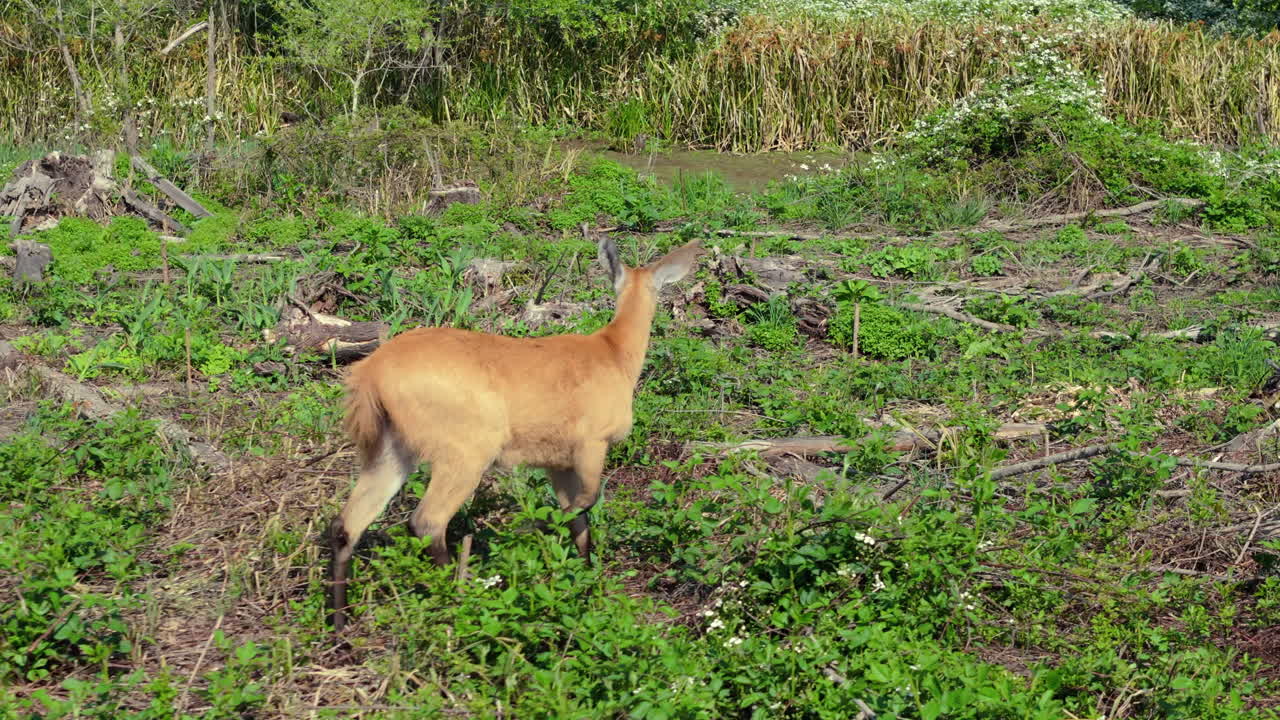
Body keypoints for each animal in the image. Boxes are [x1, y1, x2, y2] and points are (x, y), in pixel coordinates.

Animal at [327, 235, 703, 632]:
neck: (615, 355)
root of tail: (370, 373)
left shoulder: (557, 460)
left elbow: (578, 518)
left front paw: (585, 583)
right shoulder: (592, 442)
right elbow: (585, 502)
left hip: (391, 446)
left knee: (346, 523)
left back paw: (340, 626)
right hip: (465, 448)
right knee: (426, 520)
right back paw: (462, 598)